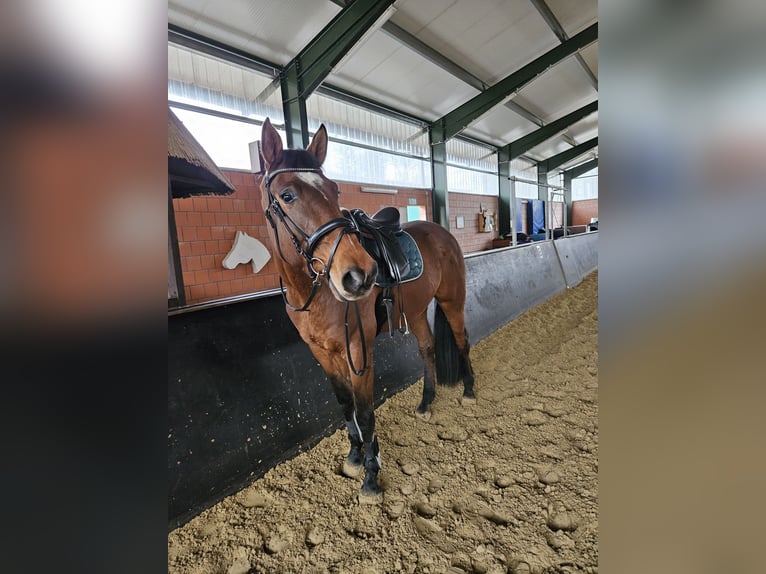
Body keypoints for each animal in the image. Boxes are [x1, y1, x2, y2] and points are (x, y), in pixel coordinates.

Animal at [258, 118, 475, 501]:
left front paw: (372, 477)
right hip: (416, 312)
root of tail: (442, 233)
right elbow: (345, 404)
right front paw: (355, 456)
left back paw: (469, 391)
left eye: (334, 191)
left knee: (462, 341)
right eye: (287, 195)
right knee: (428, 348)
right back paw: (426, 402)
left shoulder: (359, 350)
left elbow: (365, 410)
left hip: (452, 301)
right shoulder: (322, 353)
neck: (314, 292)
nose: (360, 275)